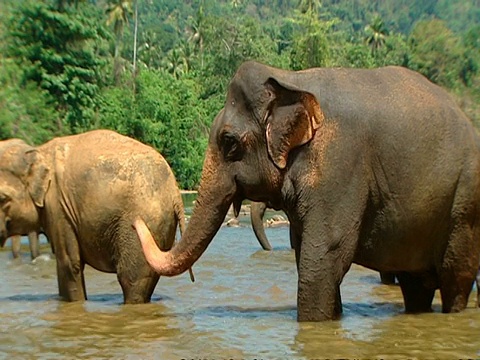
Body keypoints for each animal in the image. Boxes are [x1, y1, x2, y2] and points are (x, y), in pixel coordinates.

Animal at [0, 129, 186, 304]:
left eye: (2, 198)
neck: (37, 151)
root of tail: (175, 192)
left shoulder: (59, 208)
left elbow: (69, 263)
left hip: (142, 225)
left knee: (131, 279)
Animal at [133, 61, 480, 320]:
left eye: (229, 142)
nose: (137, 221)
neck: (291, 80)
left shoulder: (340, 165)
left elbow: (323, 258)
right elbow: (307, 256)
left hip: (465, 207)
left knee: (455, 280)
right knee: (416, 285)